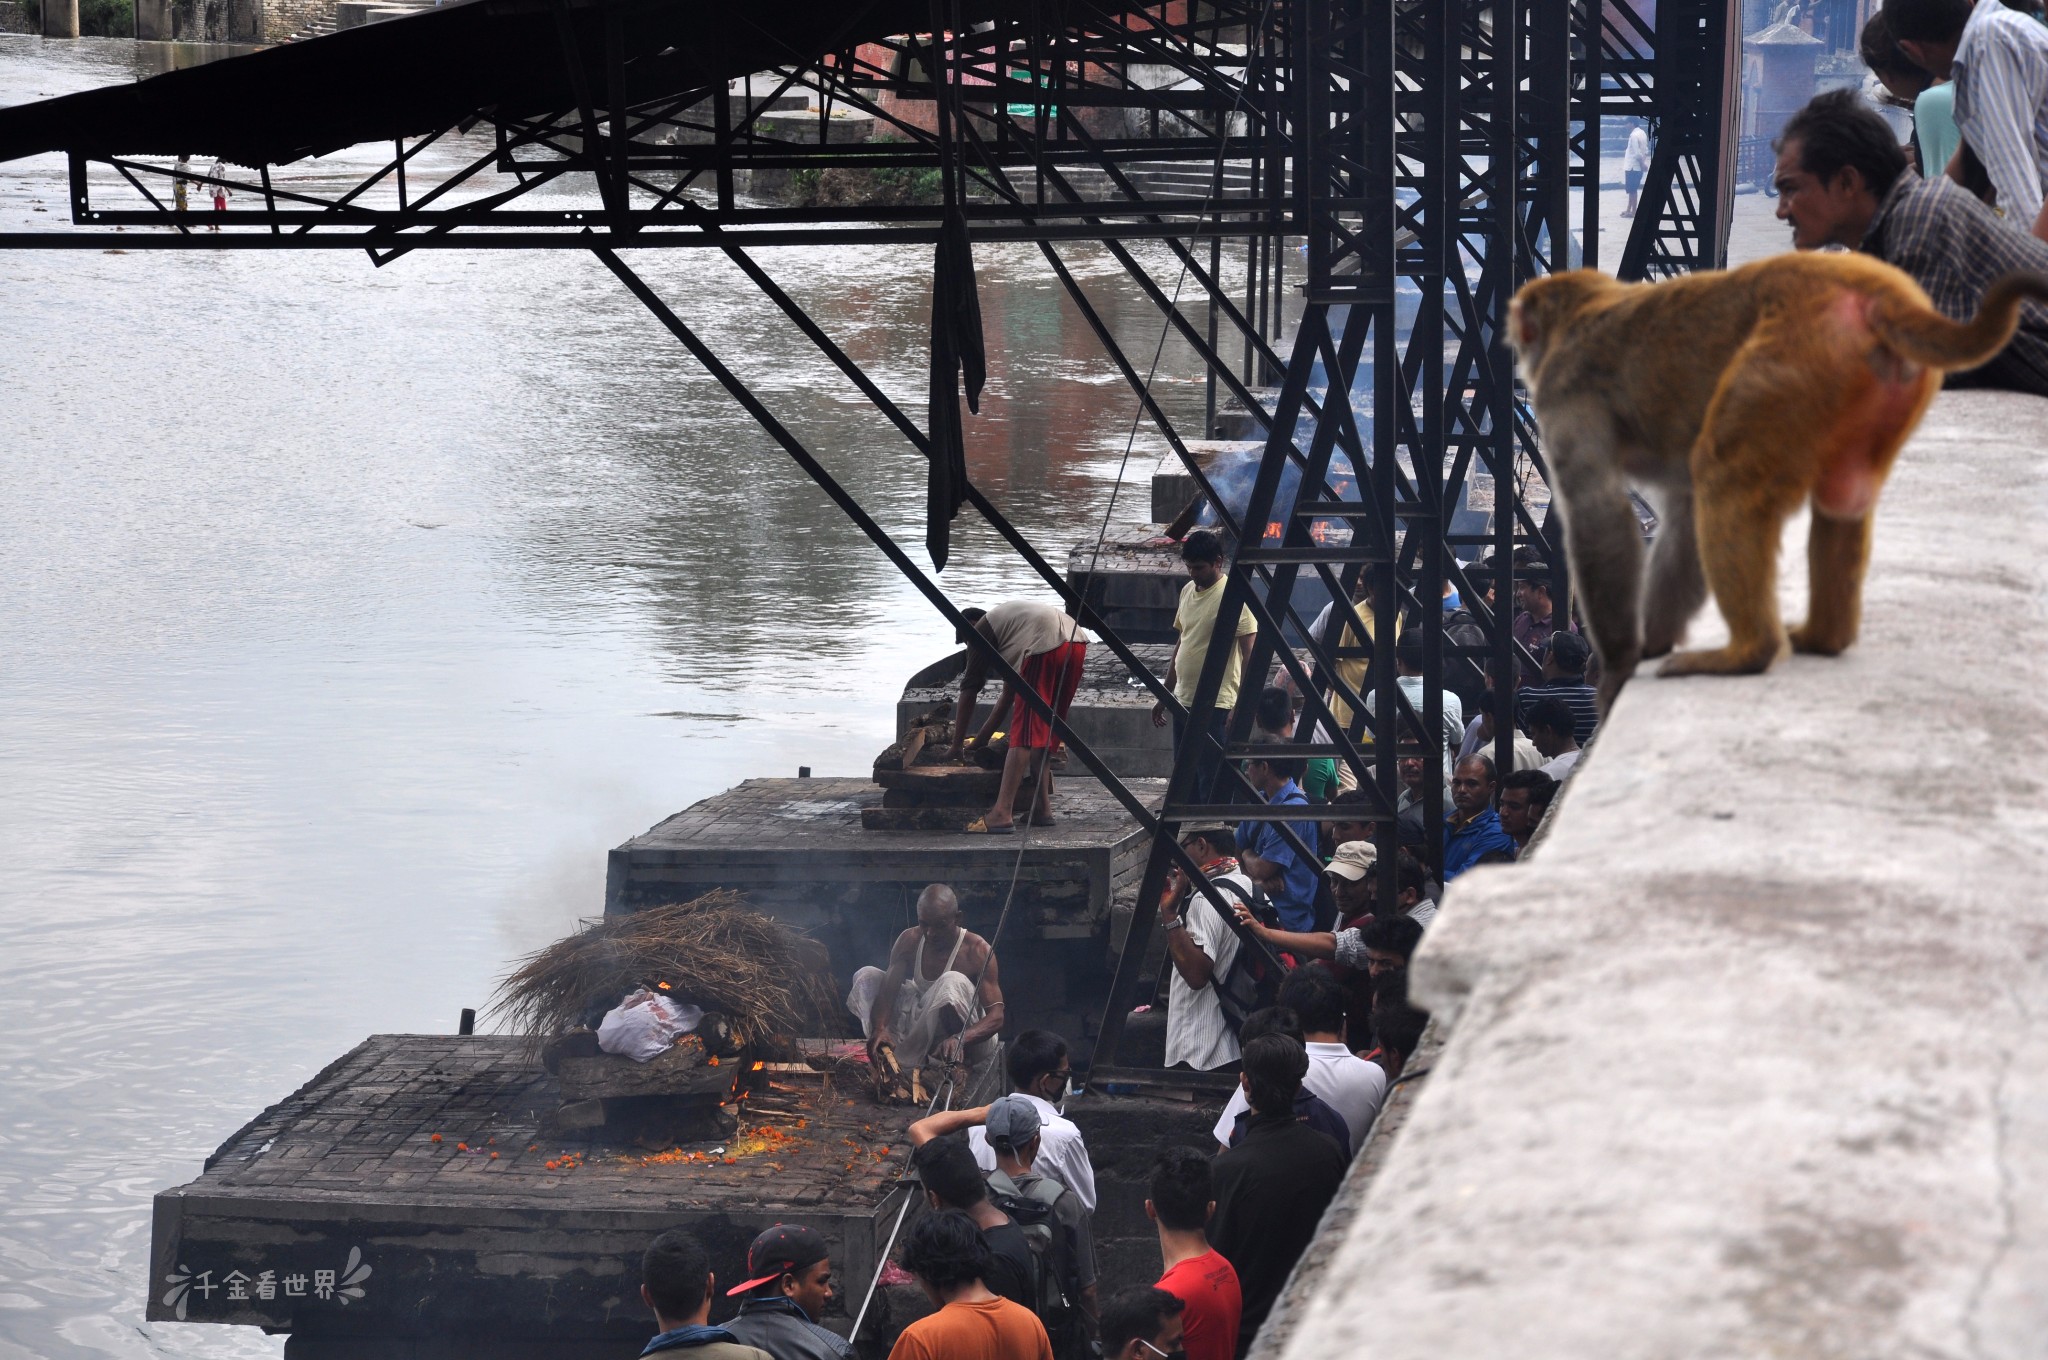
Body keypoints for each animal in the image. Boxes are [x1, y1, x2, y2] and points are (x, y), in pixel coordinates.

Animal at [1507, 248, 2048, 704]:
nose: (1520, 358)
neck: (1585, 306)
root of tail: (1874, 287)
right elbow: (1683, 511)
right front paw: (1654, 641)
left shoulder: (1562, 388)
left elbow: (1599, 514)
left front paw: (1619, 666)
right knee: (1843, 497)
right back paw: (1823, 638)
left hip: (1790, 362)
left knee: (1727, 477)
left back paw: (1749, 653)